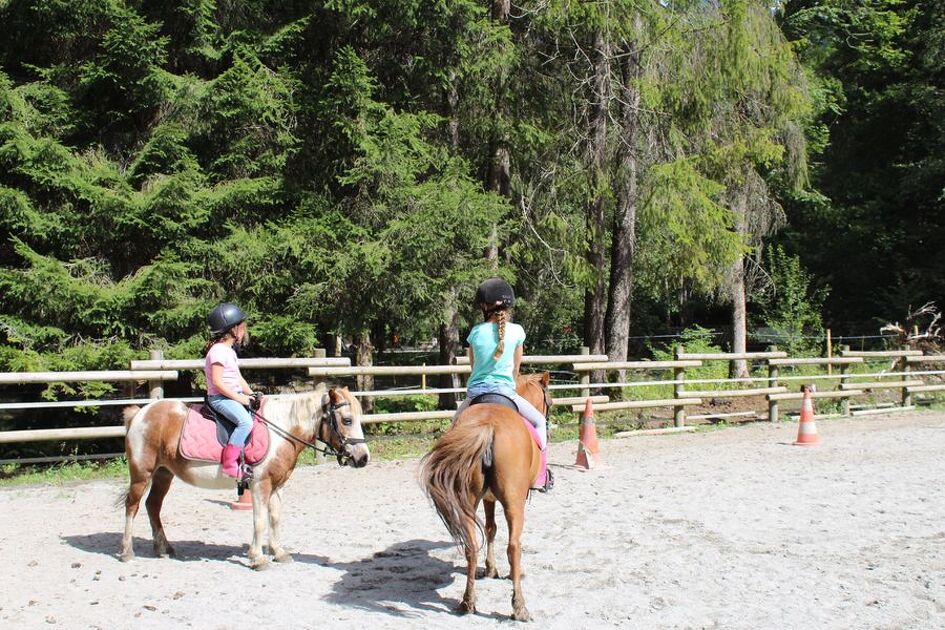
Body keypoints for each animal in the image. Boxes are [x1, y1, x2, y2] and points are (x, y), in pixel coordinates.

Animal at [118, 388, 368, 572]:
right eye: (347, 420)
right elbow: (259, 521)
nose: (363, 458)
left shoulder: (277, 486)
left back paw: (163, 548)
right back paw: (127, 551)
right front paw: (257, 559)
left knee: (153, 505)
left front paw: (279, 553)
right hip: (141, 474)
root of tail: (140, 414)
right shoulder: (260, 484)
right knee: (132, 506)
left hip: (163, 474)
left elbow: (275, 518)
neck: (280, 432)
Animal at [420, 372, 552, 624]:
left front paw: (490, 569)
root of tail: (488, 427)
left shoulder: (487, 498)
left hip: (468, 501)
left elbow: (490, 528)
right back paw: (519, 607)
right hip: (514, 504)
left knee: (472, 546)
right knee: (514, 547)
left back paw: (467, 601)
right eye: (549, 401)